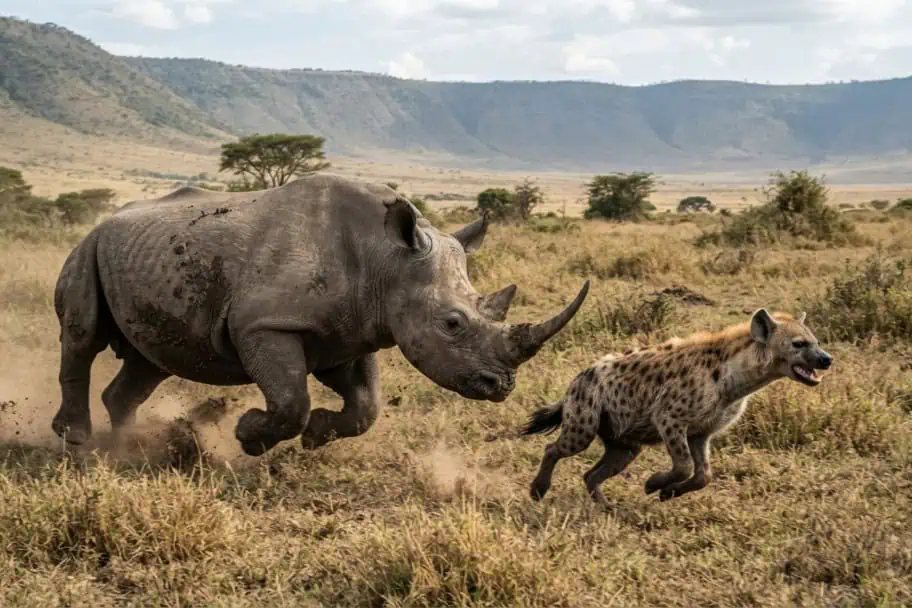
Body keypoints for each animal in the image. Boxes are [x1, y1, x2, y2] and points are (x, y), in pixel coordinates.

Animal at [51, 174, 590, 457]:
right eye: (452, 324)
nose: (502, 386)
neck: (386, 260)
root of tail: (106, 219)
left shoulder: (355, 332)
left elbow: (367, 405)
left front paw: (315, 437)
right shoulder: (264, 324)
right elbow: (292, 398)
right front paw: (249, 436)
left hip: (142, 258)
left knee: (150, 363)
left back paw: (131, 448)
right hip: (88, 246)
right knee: (82, 338)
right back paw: (78, 442)